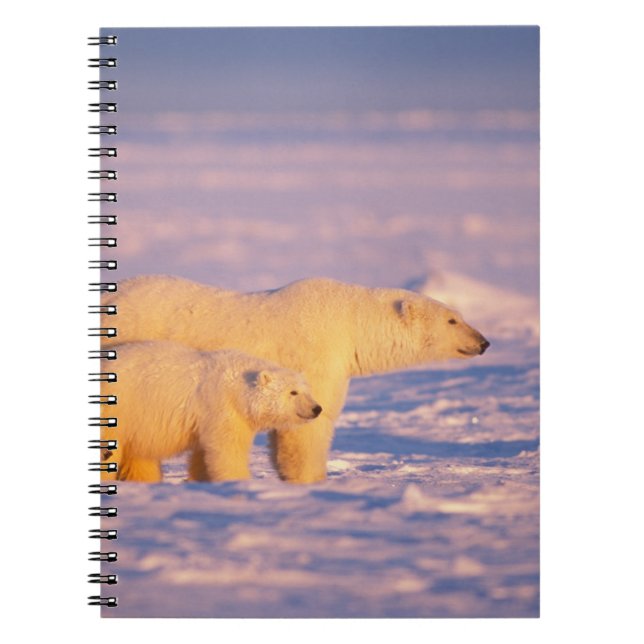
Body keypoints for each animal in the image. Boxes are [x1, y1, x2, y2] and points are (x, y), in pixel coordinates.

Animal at [100, 341, 322, 483]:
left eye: (307, 390)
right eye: (293, 392)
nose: (316, 408)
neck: (236, 387)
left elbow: (204, 454)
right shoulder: (221, 407)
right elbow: (228, 450)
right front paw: (240, 481)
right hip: (120, 408)